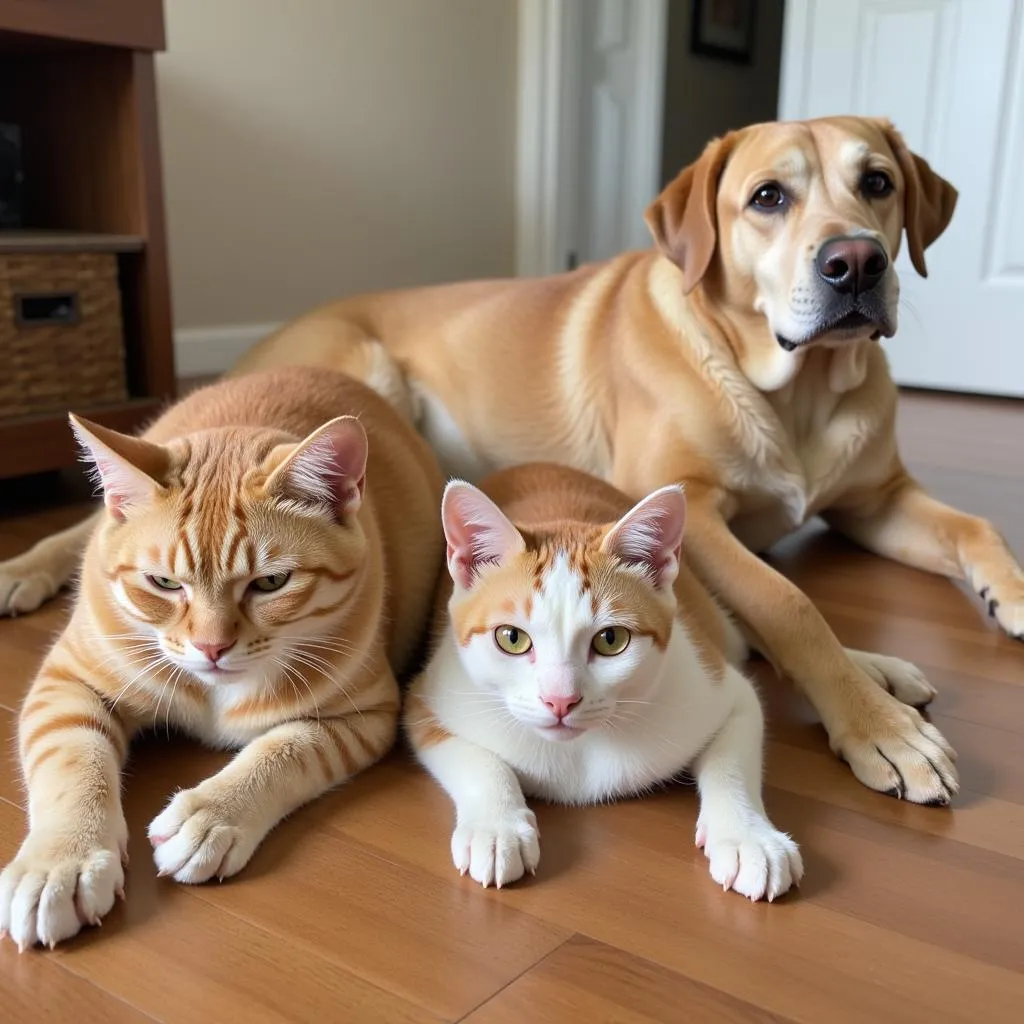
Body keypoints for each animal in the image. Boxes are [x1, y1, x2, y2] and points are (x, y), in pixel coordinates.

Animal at [0, 364, 444, 946]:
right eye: (164, 583)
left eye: (271, 582)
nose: (212, 647)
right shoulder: (67, 684)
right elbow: (73, 762)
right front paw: (60, 862)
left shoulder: (363, 714)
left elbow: (285, 750)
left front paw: (210, 814)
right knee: (82, 530)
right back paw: (20, 571)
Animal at [4, 117, 1019, 806]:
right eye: (768, 198)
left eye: (878, 183)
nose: (856, 264)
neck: (797, 393)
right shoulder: (696, 507)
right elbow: (789, 602)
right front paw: (875, 726)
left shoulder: (878, 498)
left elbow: (970, 527)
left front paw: (988, 604)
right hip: (372, 382)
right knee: (90, 518)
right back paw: (27, 569)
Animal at [405, 466, 798, 905]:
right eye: (511, 638)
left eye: (611, 640)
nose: (560, 700)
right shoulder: (428, 696)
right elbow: (477, 759)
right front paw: (496, 828)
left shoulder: (718, 686)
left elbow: (732, 762)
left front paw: (749, 837)